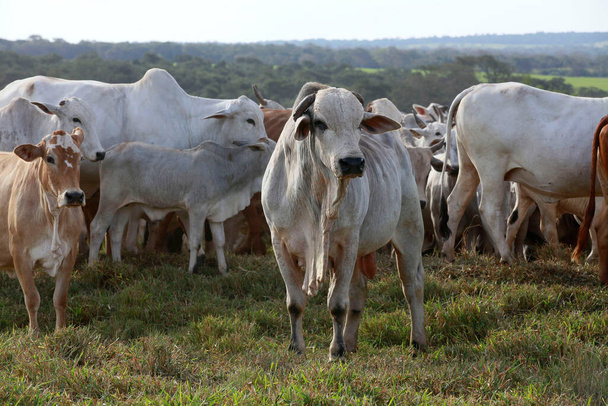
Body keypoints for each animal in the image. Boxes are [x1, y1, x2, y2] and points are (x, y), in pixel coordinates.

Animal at [0, 129, 86, 334]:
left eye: (80, 158)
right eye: (50, 158)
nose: (74, 195)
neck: (53, 214)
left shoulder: (70, 253)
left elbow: (60, 298)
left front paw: (60, 331)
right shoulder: (20, 255)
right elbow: (32, 298)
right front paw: (34, 333)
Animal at [88, 138, 276, 274]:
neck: (225, 168)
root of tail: (110, 150)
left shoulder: (216, 214)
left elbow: (220, 242)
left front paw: (224, 270)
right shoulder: (196, 210)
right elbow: (195, 241)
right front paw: (192, 269)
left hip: (125, 205)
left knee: (116, 232)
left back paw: (118, 264)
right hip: (109, 201)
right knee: (97, 228)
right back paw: (92, 266)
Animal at [262, 81, 428, 358]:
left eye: (359, 123)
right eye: (320, 122)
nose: (352, 162)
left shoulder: (347, 242)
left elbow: (338, 304)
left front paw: (336, 350)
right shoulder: (279, 242)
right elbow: (295, 303)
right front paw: (296, 347)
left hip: (409, 230)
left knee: (411, 285)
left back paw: (418, 340)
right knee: (359, 290)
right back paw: (351, 341)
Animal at [440, 84, 608, 264]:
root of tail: (478, 88)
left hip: (469, 167)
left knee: (456, 202)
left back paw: (449, 253)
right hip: (491, 168)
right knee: (490, 209)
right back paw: (507, 256)